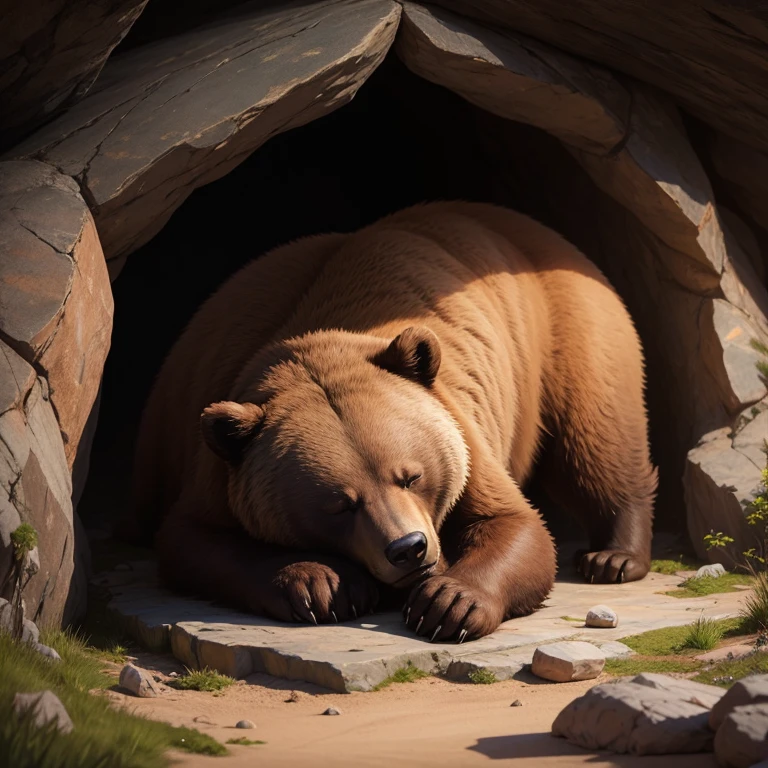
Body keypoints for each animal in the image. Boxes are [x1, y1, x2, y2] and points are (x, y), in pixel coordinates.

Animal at [130, 202, 656, 640]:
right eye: (340, 504)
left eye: (411, 476)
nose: (409, 548)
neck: (315, 346)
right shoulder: (219, 459)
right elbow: (193, 540)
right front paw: (321, 584)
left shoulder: (459, 428)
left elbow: (514, 522)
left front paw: (449, 604)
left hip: (565, 322)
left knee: (595, 430)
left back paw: (613, 556)